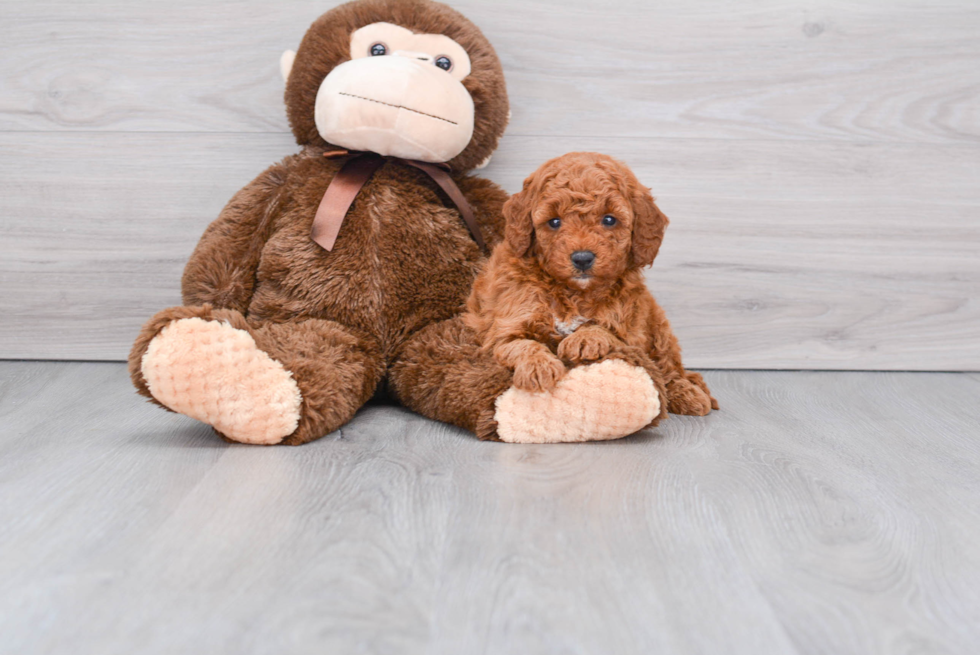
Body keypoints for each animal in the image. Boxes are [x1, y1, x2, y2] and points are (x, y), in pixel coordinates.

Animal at [464, 152, 716, 418]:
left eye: (609, 219)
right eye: (554, 222)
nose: (582, 258)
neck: (573, 292)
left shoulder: (630, 331)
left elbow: (604, 328)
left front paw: (585, 339)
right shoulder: (505, 327)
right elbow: (520, 344)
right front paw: (538, 367)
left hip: (659, 326)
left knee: (670, 367)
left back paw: (687, 394)